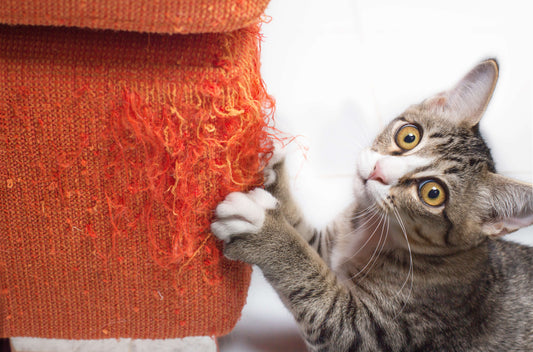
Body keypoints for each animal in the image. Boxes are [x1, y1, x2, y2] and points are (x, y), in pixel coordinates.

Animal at [211, 59, 532, 350]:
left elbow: (318, 294)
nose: (378, 171)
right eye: (409, 135)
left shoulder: (368, 330)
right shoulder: (330, 245)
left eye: (432, 193)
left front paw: (265, 229)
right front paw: (269, 165)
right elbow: (308, 240)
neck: (372, 229)